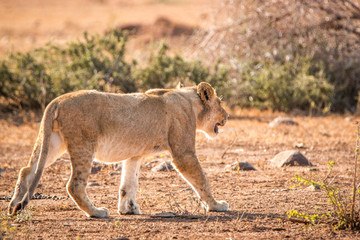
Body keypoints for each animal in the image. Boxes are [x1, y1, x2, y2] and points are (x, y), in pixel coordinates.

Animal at [9, 82, 231, 218]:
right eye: (220, 102)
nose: (228, 116)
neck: (190, 102)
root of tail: (57, 100)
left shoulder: (134, 155)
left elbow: (129, 184)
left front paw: (128, 209)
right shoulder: (183, 153)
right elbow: (202, 180)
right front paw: (216, 205)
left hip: (54, 142)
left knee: (26, 170)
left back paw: (14, 206)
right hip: (83, 144)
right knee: (75, 185)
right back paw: (96, 212)